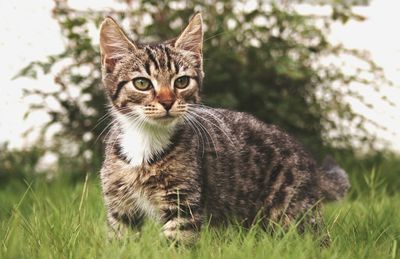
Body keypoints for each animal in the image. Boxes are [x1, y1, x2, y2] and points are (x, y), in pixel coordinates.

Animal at [98, 13, 348, 245]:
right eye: (142, 83)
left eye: (181, 82)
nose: (167, 102)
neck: (145, 140)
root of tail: (308, 160)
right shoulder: (120, 206)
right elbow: (119, 240)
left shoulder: (183, 202)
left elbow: (177, 242)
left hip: (291, 210)